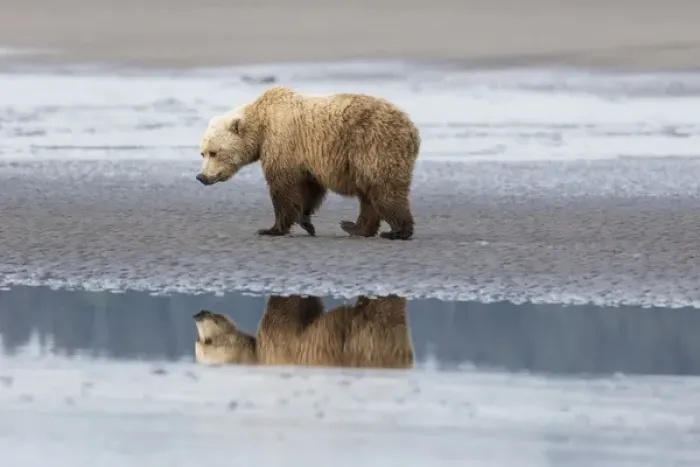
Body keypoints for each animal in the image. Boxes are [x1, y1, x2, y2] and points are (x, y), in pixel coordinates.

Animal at [192, 294, 414, 369]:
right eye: (206, 341)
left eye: (216, 316)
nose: (201, 313)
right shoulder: (279, 344)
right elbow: (289, 310)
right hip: (366, 341)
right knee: (380, 313)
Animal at [196, 85, 421, 240]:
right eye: (202, 153)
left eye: (214, 152)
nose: (202, 177)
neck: (261, 126)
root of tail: (412, 129)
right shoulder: (307, 157)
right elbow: (309, 188)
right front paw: (306, 222)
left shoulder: (283, 143)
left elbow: (283, 187)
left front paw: (271, 228)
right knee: (369, 194)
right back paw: (356, 228)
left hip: (374, 146)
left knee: (384, 189)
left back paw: (397, 231)